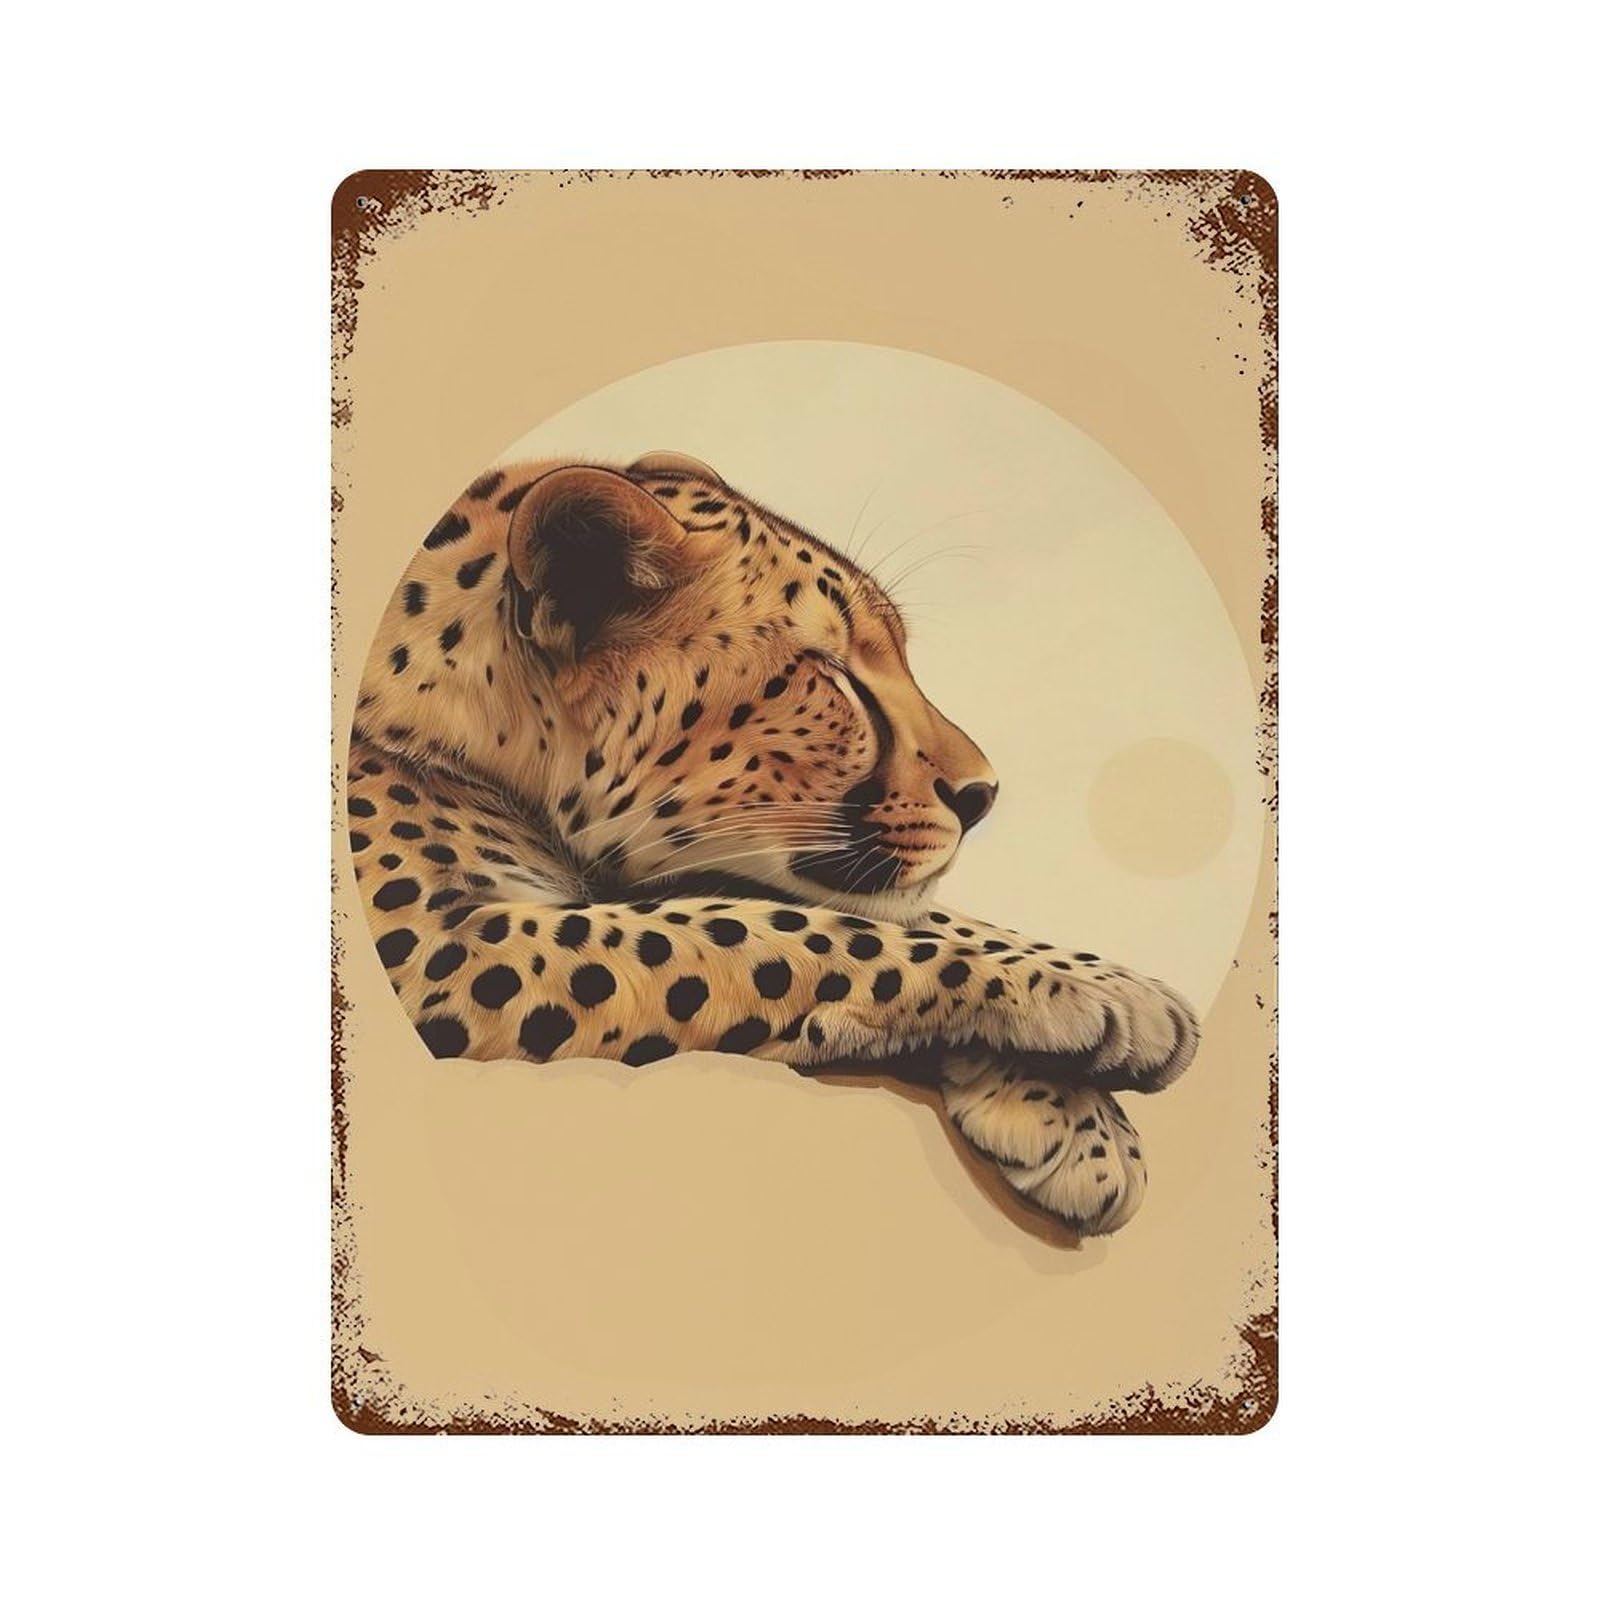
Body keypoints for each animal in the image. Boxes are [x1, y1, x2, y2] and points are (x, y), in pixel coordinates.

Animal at [345, 451, 1199, 1236]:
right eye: (835, 677)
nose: (982, 795)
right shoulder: (437, 948)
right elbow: (778, 930)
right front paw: (1100, 1002)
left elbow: (860, 914)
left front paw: (1086, 1112)